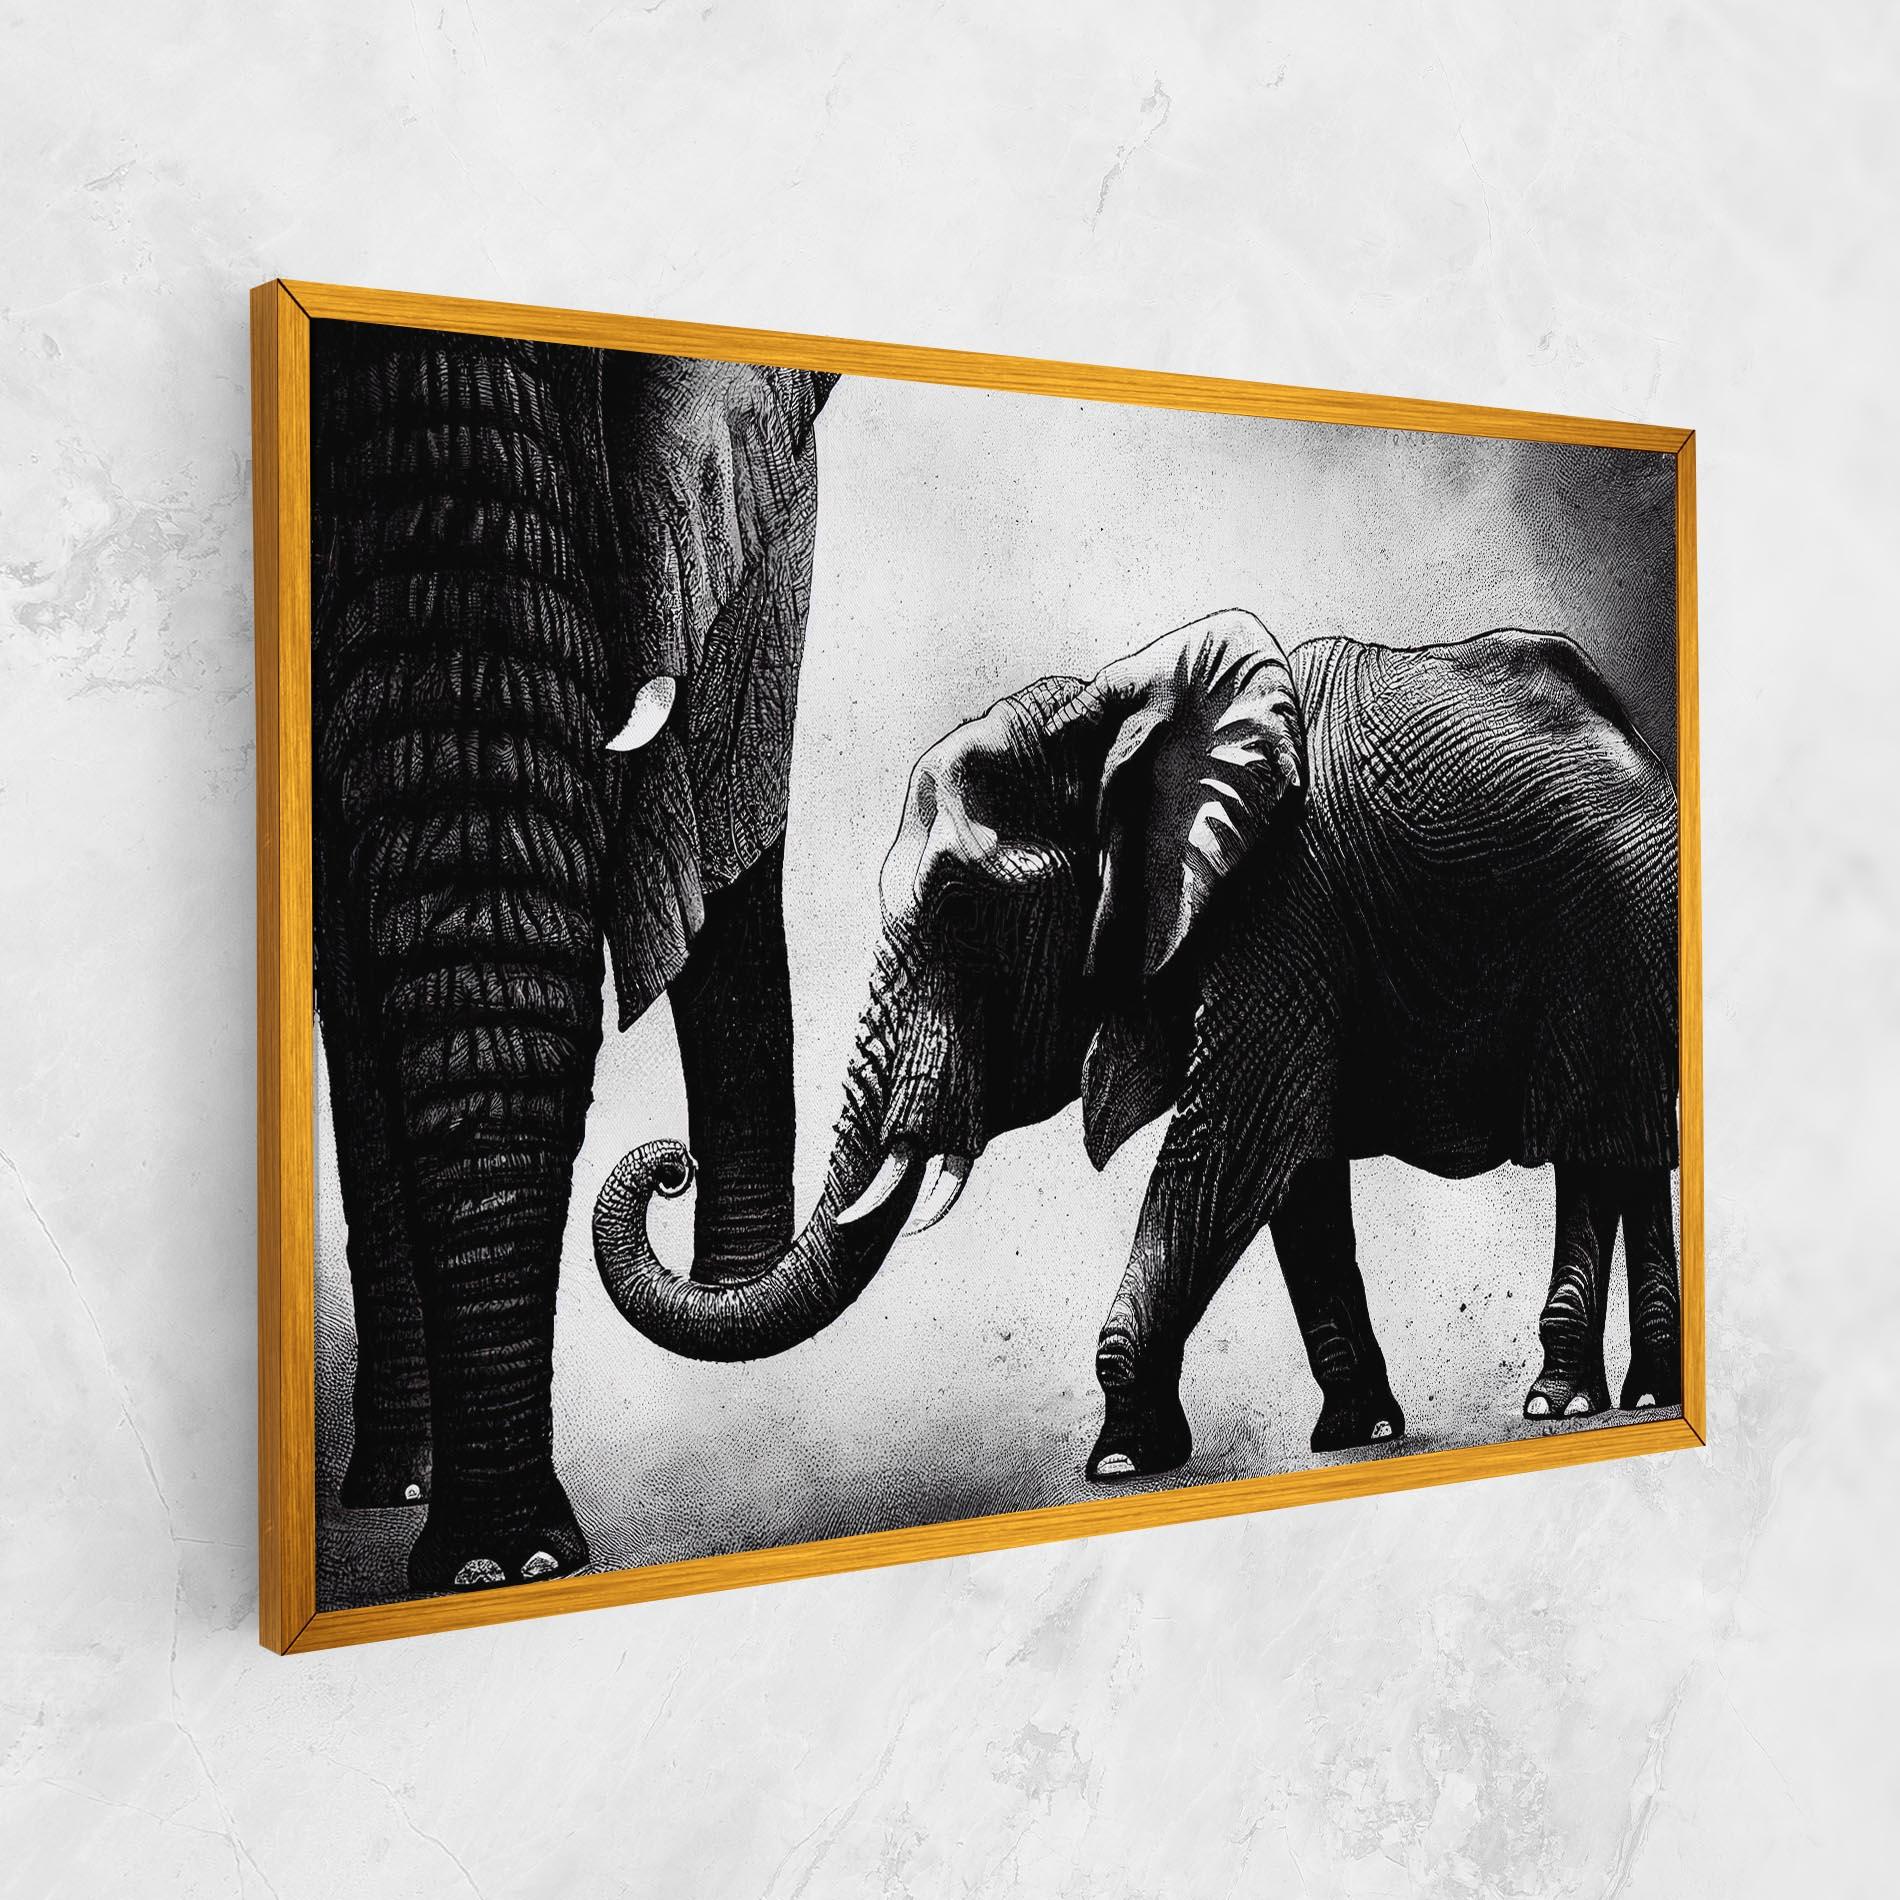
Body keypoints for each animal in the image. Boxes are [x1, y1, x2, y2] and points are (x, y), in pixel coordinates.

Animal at [590, 608, 1681, 1481]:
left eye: (958, 907)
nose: (670, 1165)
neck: (1106, 715)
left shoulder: (1282, 908)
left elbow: (1228, 1146)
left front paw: (1118, 1461)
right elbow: (1295, 1183)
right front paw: (1355, 1436)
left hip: (1611, 944)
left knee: (1593, 1152)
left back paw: (1562, 1403)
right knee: (1626, 1159)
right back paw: (1633, 1396)